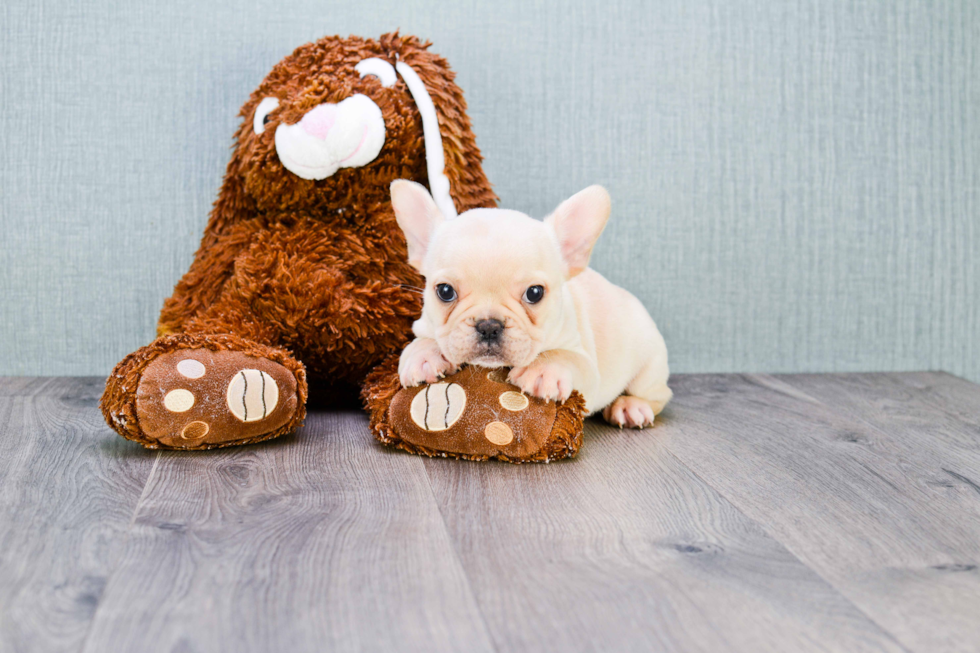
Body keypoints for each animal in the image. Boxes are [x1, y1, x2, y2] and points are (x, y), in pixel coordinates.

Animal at [390, 180, 672, 428]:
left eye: (534, 293)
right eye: (445, 291)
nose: (489, 325)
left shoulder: (586, 365)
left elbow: (566, 356)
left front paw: (543, 370)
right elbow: (423, 340)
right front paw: (422, 355)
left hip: (650, 366)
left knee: (658, 395)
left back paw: (631, 407)